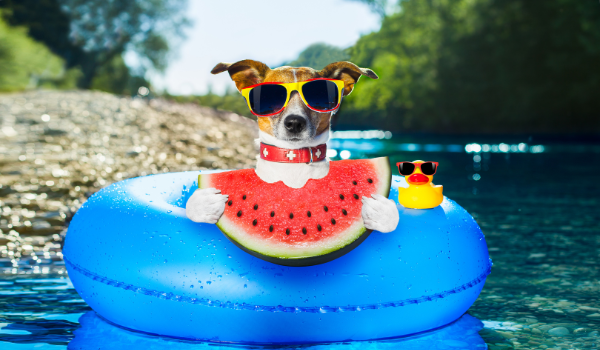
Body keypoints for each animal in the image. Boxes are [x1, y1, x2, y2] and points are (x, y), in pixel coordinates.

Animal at [185, 60, 396, 234]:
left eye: (318, 94)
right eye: (270, 96)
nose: (294, 123)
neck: (294, 159)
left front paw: (382, 212)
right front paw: (202, 204)